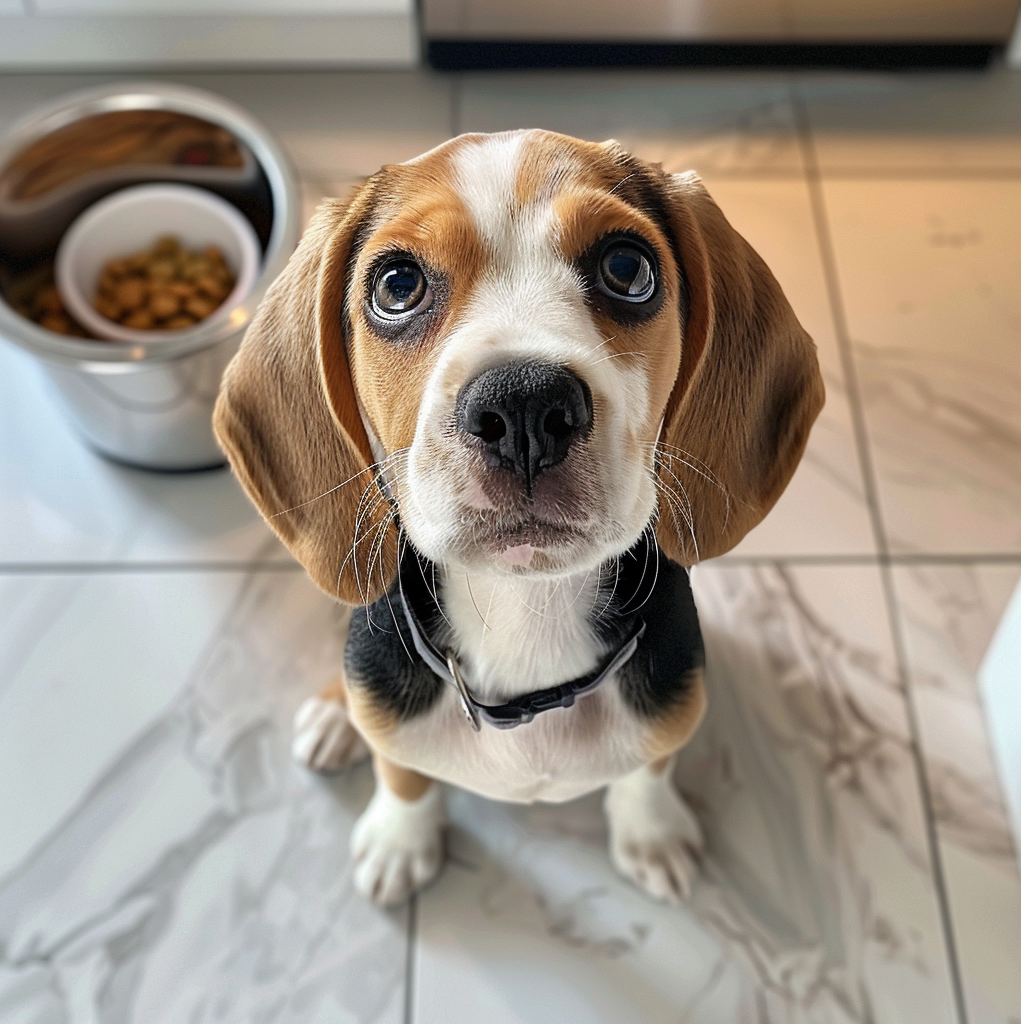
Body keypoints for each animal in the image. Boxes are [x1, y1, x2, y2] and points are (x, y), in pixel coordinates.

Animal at [210, 132, 823, 909]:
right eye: (396, 286)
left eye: (628, 267)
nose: (525, 404)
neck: (523, 610)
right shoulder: (395, 723)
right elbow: (400, 770)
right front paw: (400, 839)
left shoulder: (673, 705)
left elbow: (649, 767)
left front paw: (650, 833)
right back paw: (332, 714)